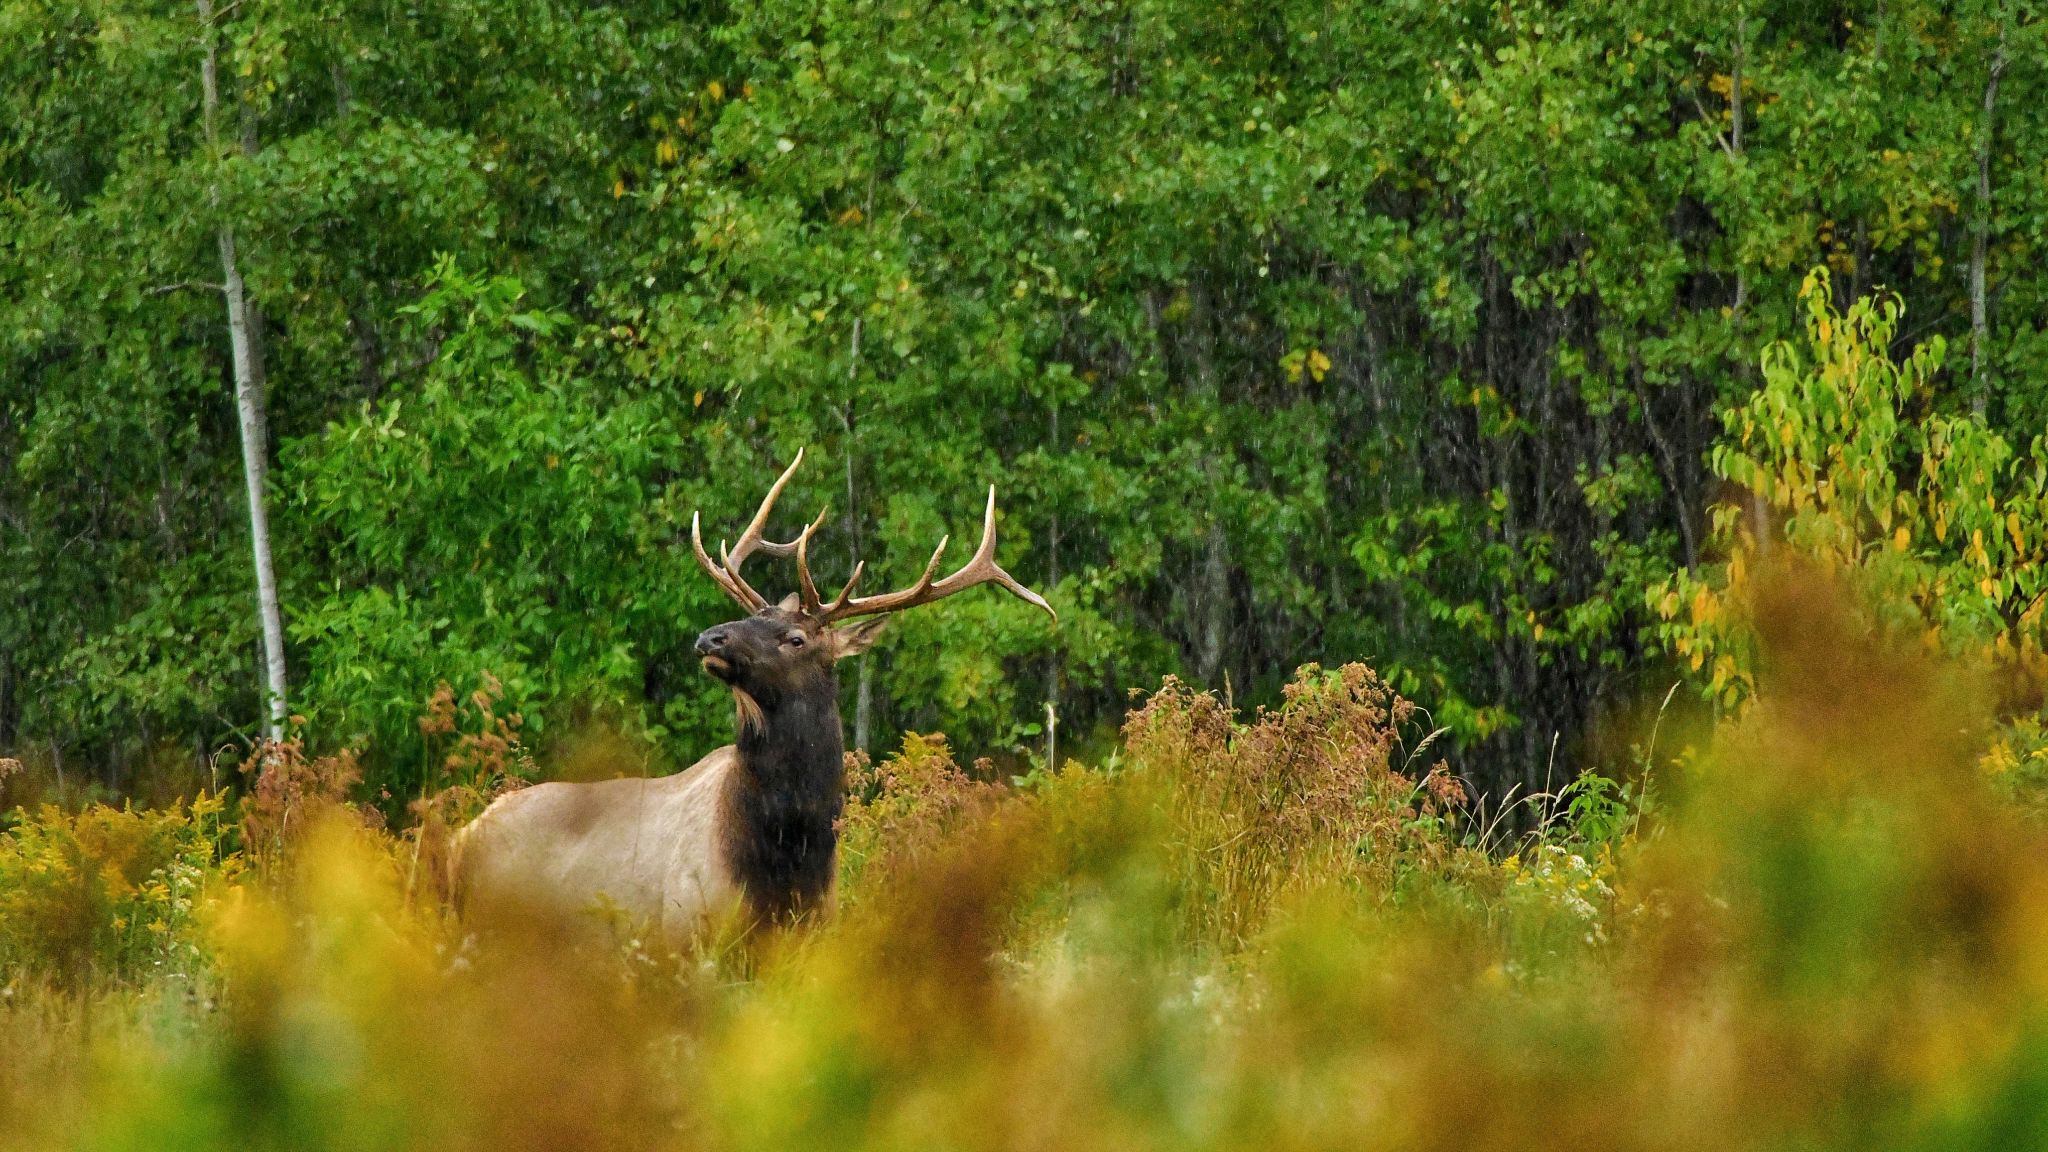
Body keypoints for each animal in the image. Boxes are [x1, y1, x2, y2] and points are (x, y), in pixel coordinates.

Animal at [451, 450, 1055, 938]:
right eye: (750, 617)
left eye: (795, 638)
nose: (710, 637)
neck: (787, 860)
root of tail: (459, 837)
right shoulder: (685, 935)